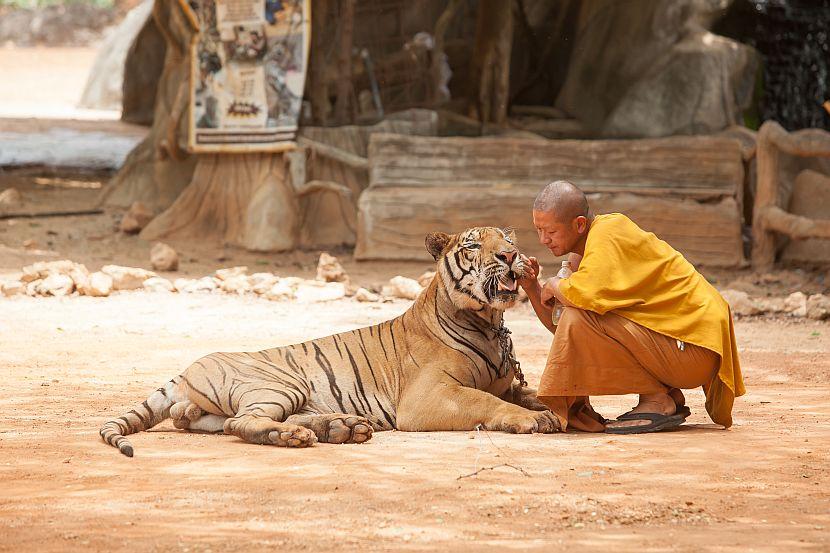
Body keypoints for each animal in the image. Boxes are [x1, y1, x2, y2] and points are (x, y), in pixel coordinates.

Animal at [101, 226, 564, 454]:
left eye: (508, 239)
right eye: (473, 245)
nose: (509, 255)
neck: (488, 322)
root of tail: (186, 369)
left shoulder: (507, 383)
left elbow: (531, 393)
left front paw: (553, 409)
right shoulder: (428, 396)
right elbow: (485, 401)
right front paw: (537, 420)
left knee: (203, 420)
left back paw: (341, 427)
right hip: (281, 383)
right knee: (241, 422)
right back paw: (300, 437)